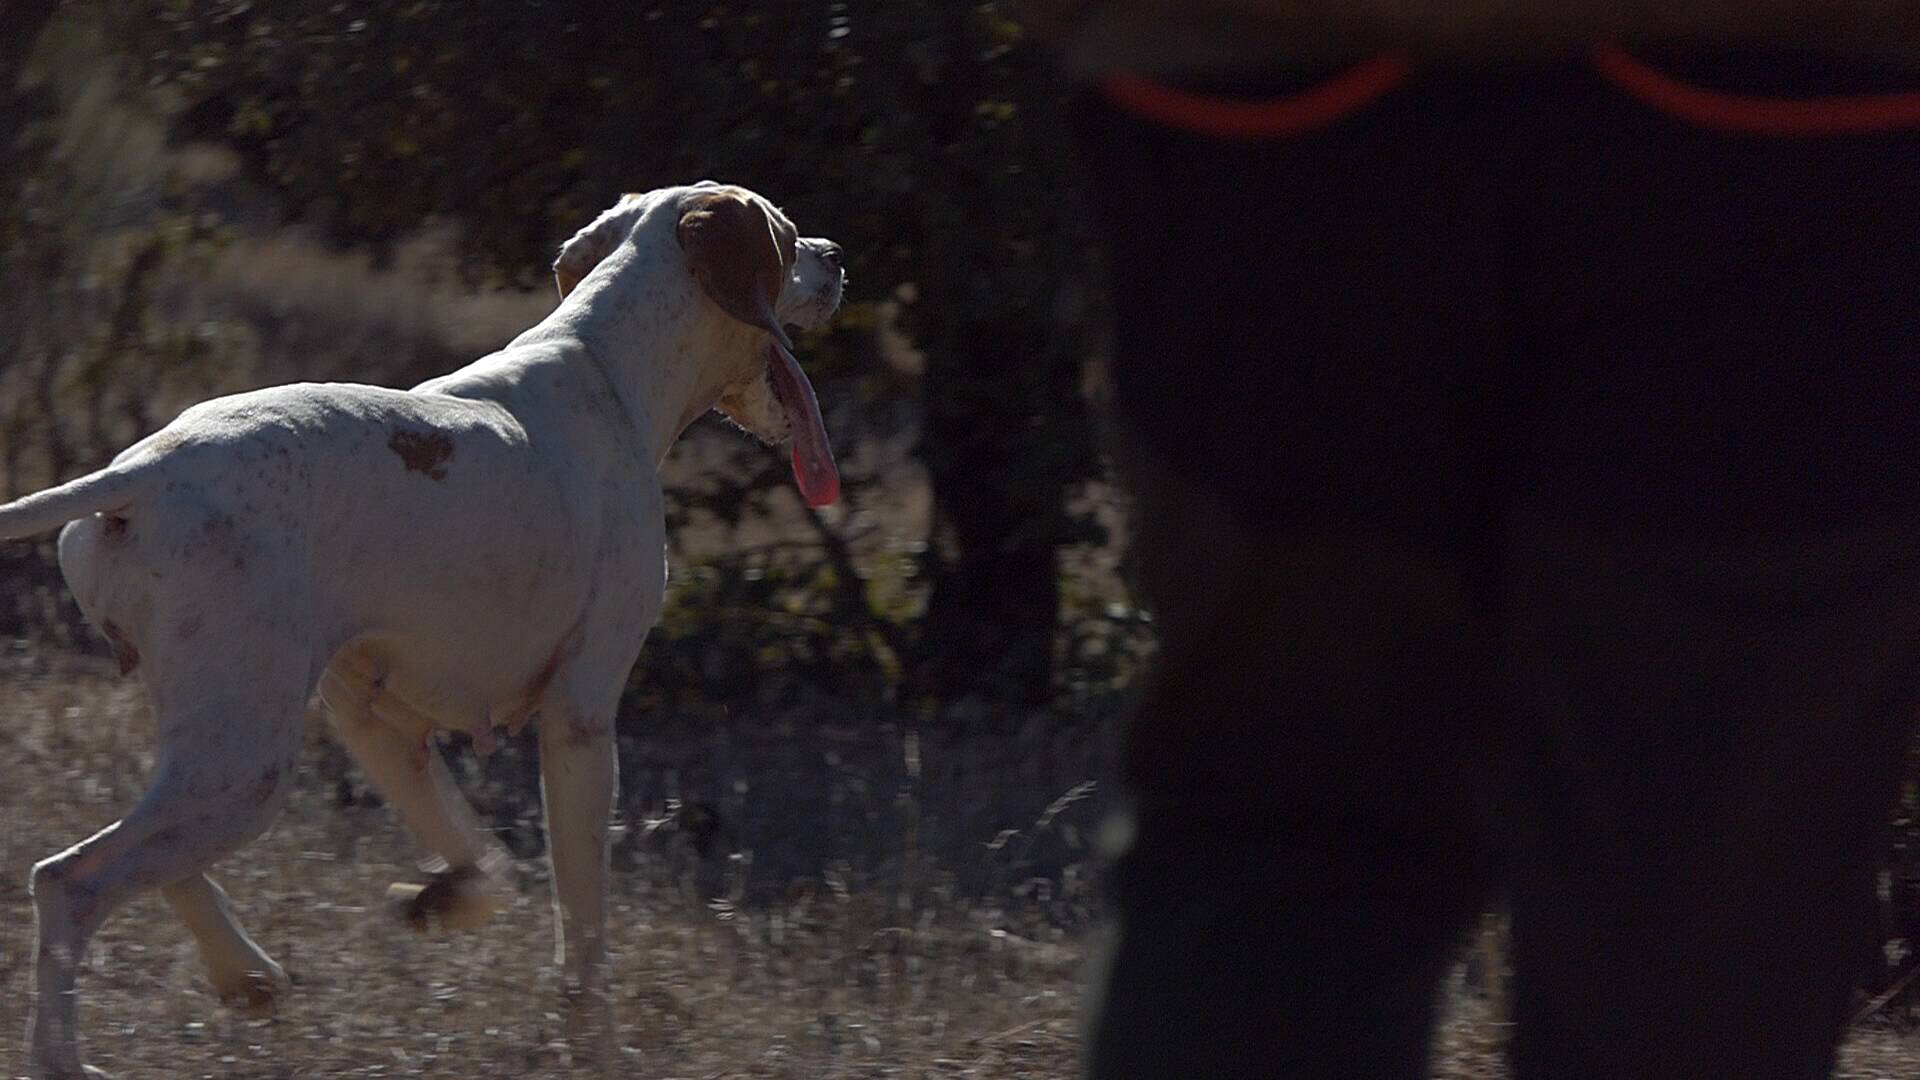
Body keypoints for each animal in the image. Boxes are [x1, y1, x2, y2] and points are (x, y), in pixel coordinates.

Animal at [1, 180, 840, 1068]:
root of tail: (142, 472)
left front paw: (439, 898)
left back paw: (245, 973)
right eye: (788, 237)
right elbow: (581, 926)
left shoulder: (379, 720)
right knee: (70, 881)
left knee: (155, 860)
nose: (837, 257)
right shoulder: (579, 719)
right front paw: (595, 1046)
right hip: (243, 769)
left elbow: (489, 865)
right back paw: (63, 1057)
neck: (609, 368)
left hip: (217, 747)